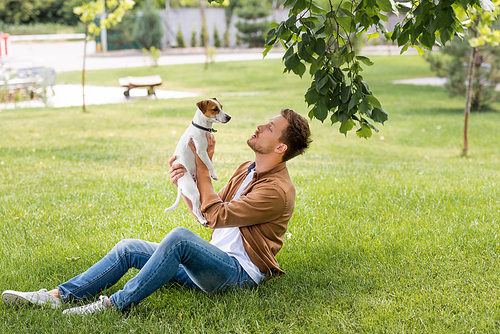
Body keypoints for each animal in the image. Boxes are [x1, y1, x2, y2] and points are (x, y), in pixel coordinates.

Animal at [166, 98, 232, 226]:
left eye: (221, 107)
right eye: (215, 109)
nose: (229, 117)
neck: (202, 127)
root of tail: (180, 184)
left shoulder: (206, 151)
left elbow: (210, 162)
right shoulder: (201, 151)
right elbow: (210, 164)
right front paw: (214, 175)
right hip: (194, 191)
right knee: (196, 209)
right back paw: (202, 220)